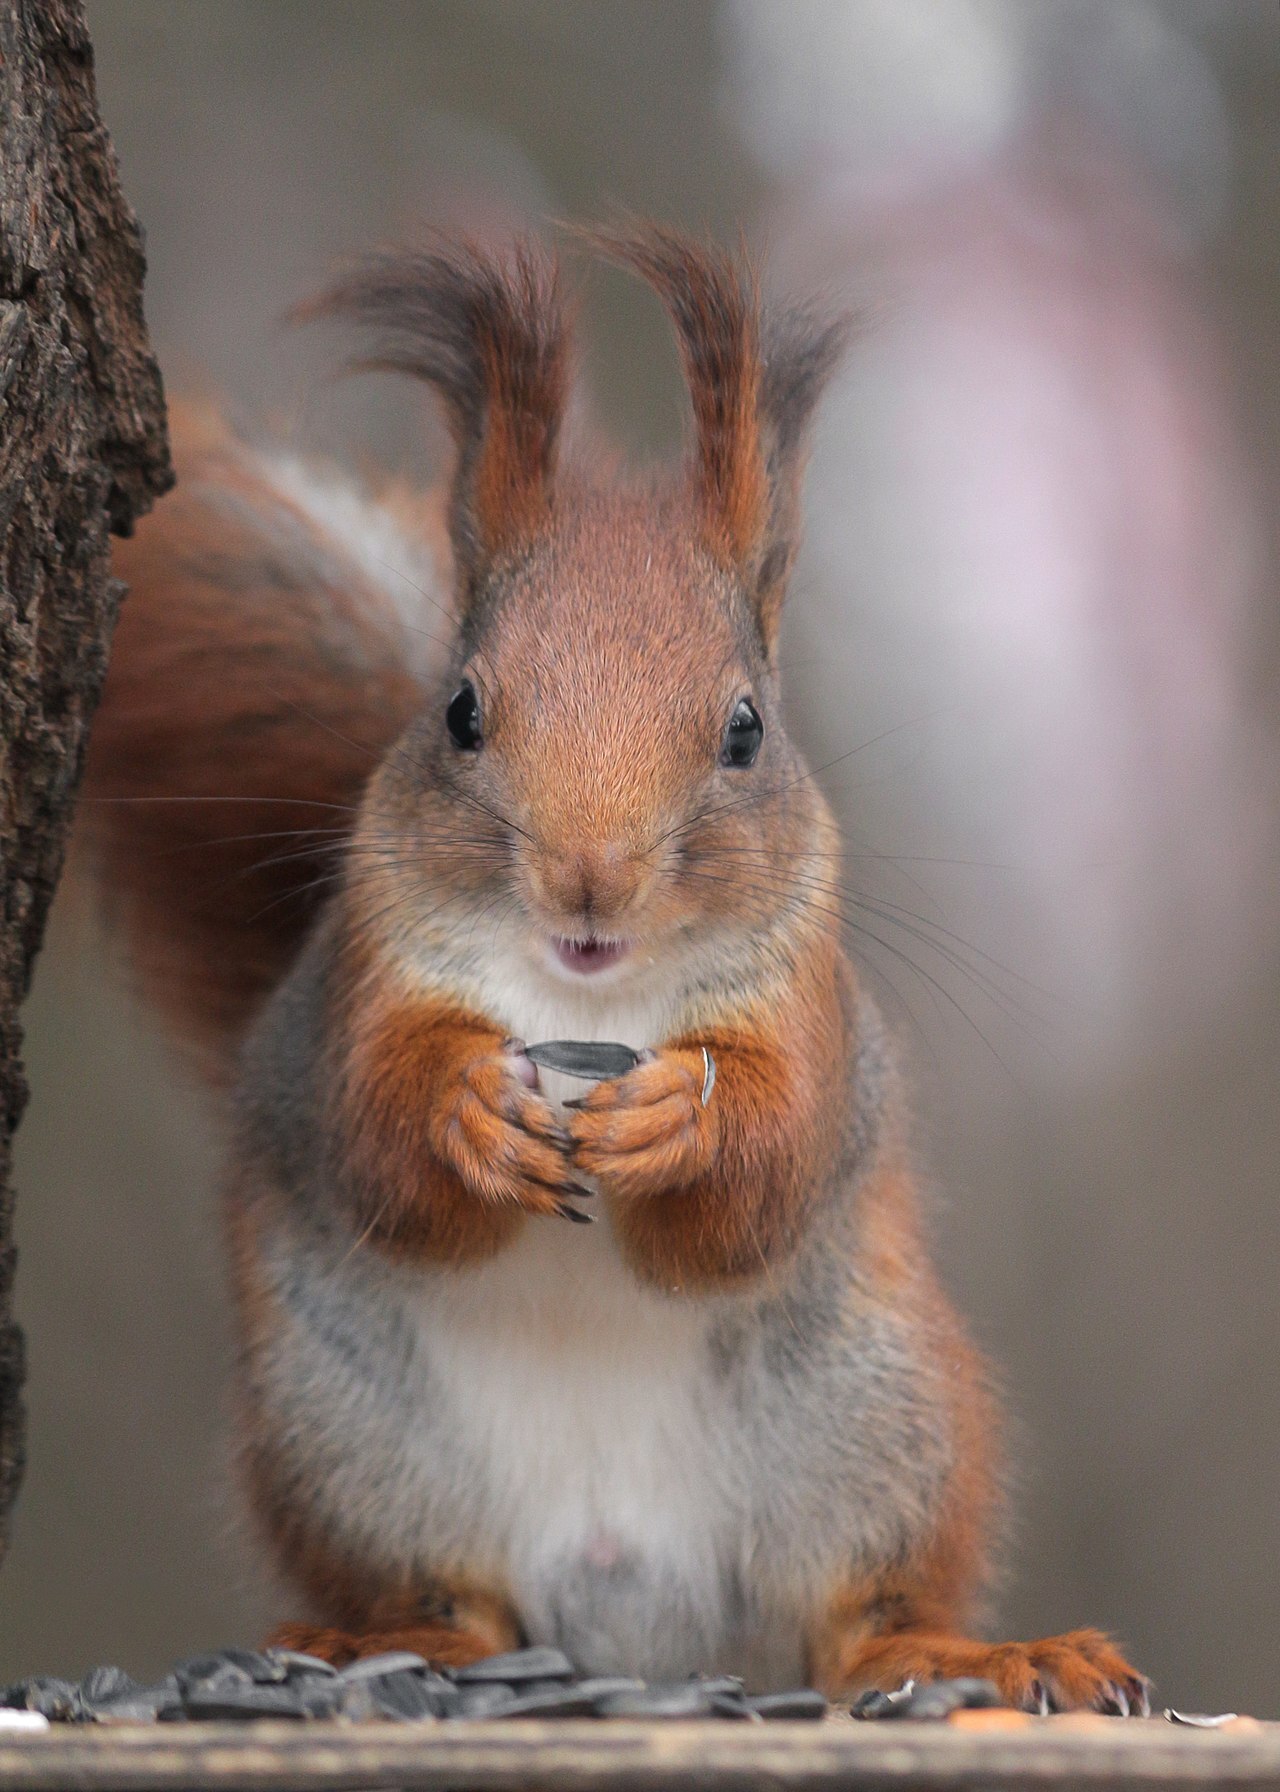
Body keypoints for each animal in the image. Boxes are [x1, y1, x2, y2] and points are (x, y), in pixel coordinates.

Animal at [82, 224, 1147, 1705]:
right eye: (462, 710)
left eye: (745, 729)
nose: (588, 880)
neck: (587, 993)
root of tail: (637, 1625)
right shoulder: (357, 989)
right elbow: (375, 1138)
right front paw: (467, 1111)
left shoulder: (806, 1010)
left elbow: (764, 1169)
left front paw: (677, 1119)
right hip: (347, 1440)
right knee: (452, 1602)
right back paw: (388, 1641)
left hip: (874, 1416)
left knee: (858, 1616)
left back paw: (975, 1656)